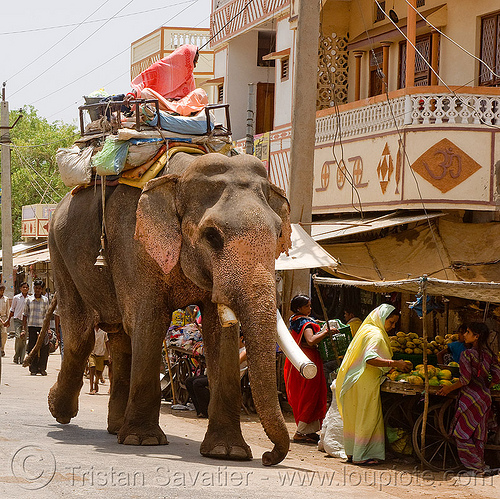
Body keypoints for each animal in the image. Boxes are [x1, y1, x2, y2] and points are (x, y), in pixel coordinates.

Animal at [47, 150, 292, 466]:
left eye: (278, 234)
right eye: (212, 235)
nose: (267, 456)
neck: (181, 174)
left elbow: (220, 331)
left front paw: (229, 452)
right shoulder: (133, 243)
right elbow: (150, 320)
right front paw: (143, 441)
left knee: (120, 338)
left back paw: (116, 428)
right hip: (58, 251)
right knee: (81, 336)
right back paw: (61, 412)